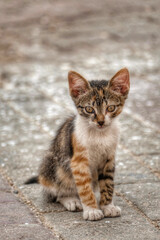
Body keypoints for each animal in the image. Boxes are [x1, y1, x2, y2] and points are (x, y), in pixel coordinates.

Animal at [25, 67, 129, 221]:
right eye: (89, 109)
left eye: (110, 108)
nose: (101, 122)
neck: (99, 134)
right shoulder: (78, 161)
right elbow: (84, 188)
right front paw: (92, 210)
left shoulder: (109, 158)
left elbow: (108, 183)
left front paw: (107, 206)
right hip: (54, 165)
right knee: (57, 193)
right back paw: (71, 200)